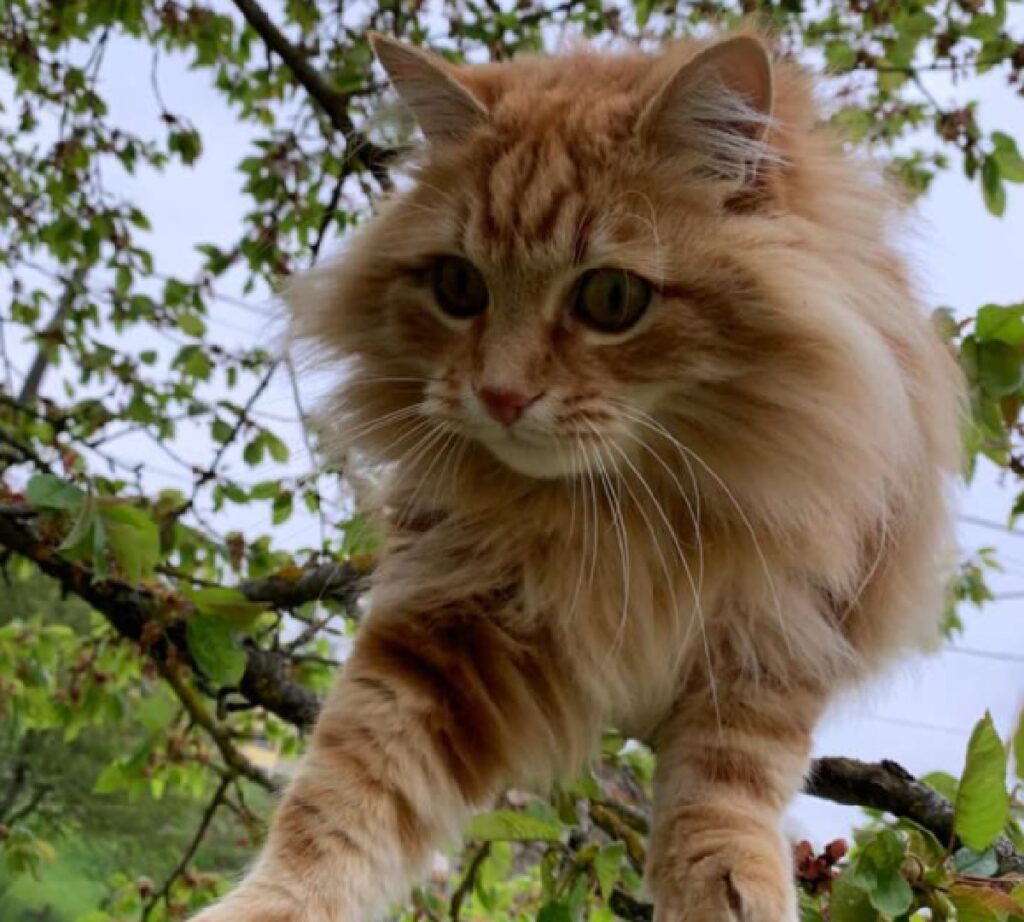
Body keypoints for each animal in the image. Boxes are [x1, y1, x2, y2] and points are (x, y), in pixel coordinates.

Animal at [190, 28, 958, 922]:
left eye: (612, 299)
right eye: (458, 286)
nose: (499, 394)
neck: (622, 511)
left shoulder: (786, 620)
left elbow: (729, 776)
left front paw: (725, 882)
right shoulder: (442, 620)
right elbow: (342, 795)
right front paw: (274, 902)